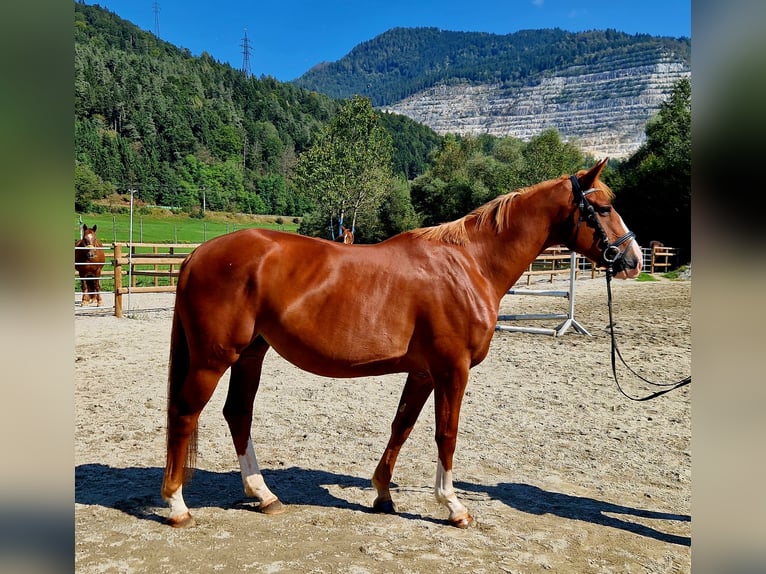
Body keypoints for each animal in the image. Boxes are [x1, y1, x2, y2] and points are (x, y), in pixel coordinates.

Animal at [162, 161, 640, 532]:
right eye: (602, 207)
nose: (632, 260)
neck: (470, 265)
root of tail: (197, 254)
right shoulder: (452, 369)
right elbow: (446, 433)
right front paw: (453, 506)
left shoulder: (424, 371)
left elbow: (402, 426)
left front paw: (382, 494)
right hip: (213, 359)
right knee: (186, 413)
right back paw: (178, 505)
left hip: (250, 354)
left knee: (237, 414)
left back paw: (263, 494)